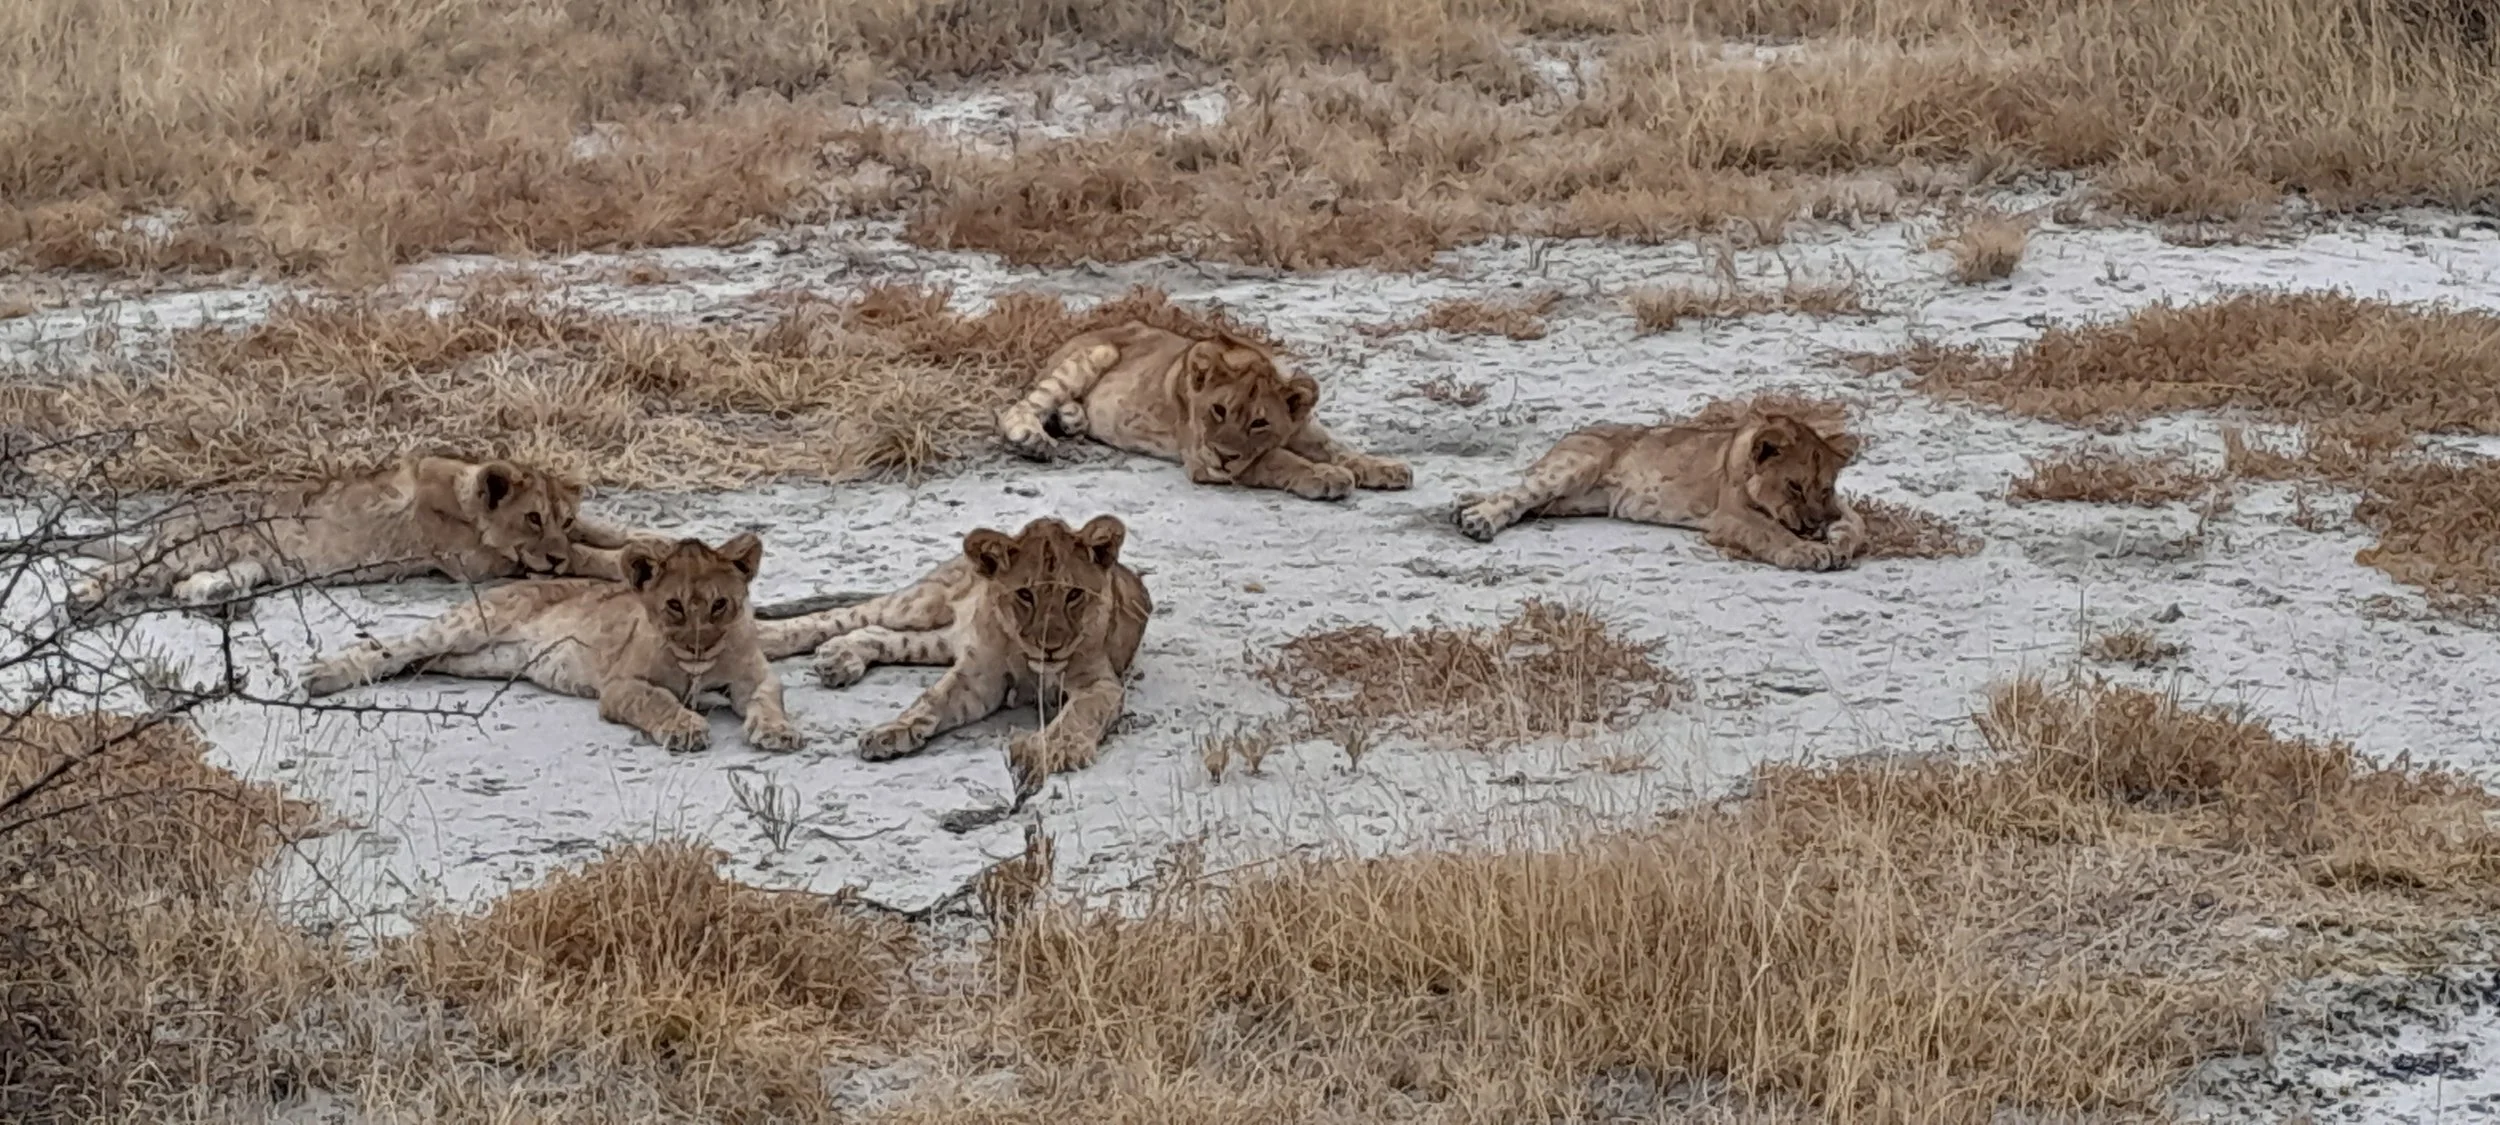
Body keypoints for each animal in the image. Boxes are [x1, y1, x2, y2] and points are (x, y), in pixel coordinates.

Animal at [67, 457, 637, 609]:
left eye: (562, 518)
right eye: (533, 519)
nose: (552, 556)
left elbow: (601, 530)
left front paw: (642, 536)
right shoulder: (471, 564)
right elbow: (584, 556)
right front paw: (615, 562)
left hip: (253, 563)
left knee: (193, 583)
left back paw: (215, 594)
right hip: (189, 545)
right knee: (132, 570)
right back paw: (81, 597)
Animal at [298, 532, 802, 753]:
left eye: (720, 605)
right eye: (674, 606)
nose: (699, 644)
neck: (696, 663)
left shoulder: (755, 677)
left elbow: (768, 699)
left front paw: (777, 731)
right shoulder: (620, 687)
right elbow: (657, 700)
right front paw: (684, 728)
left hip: (477, 659)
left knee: (416, 660)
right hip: (468, 624)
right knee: (391, 646)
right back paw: (321, 674)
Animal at [756, 514, 1149, 790]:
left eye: (1074, 594)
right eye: (1025, 594)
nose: (1049, 647)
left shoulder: (1102, 683)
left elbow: (1077, 715)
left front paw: (1054, 748)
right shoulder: (979, 675)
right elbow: (932, 700)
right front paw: (892, 730)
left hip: (942, 640)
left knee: (883, 634)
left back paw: (840, 658)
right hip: (921, 603)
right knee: (844, 615)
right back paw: (771, 638)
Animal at [995, 320, 1410, 501]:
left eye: (1259, 421)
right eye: (1218, 410)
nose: (1224, 456)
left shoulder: (1305, 432)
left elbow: (1341, 450)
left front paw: (1385, 468)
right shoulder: (1202, 458)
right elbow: (1276, 459)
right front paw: (1325, 476)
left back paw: (1072, 419)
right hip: (1097, 353)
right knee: (1016, 408)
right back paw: (1033, 439)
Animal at [1451, 411, 1868, 571]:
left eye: (1824, 489)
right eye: (1794, 486)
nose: (1814, 526)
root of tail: (1567, 436)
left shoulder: (1838, 508)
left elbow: (1857, 524)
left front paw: (1838, 545)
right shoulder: (1729, 515)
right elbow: (1771, 531)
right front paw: (1808, 551)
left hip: (1576, 501)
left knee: (1524, 500)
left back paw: (1462, 506)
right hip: (1575, 466)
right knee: (1517, 494)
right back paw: (1476, 520)